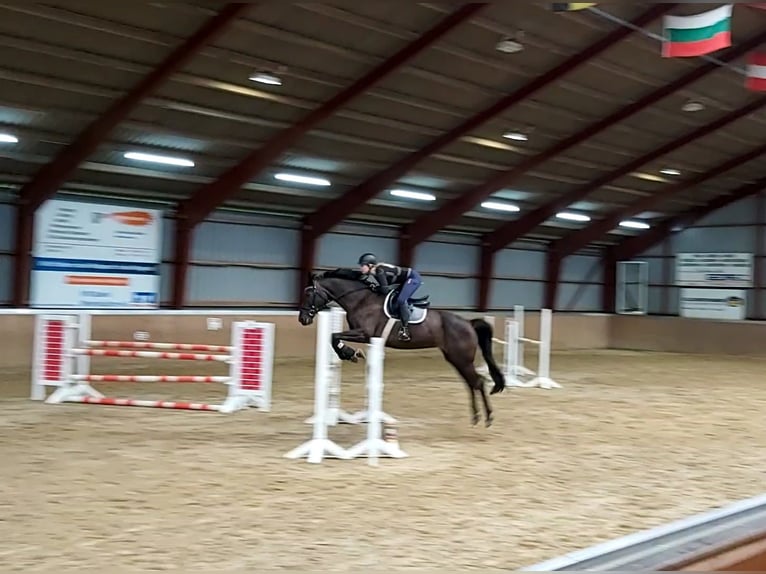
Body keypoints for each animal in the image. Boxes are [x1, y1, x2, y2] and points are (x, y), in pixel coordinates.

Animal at [296, 268, 508, 426]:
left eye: (309, 293)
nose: (303, 319)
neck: (360, 300)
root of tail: (468, 323)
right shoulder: (367, 336)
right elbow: (334, 337)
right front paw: (351, 353)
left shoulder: (364, 333)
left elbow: (334, 336)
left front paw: (350, 353)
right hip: (455, 358)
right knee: (471, 383)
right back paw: (476, 417)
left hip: (462, 358)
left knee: (478, 382)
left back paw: (488, 417)